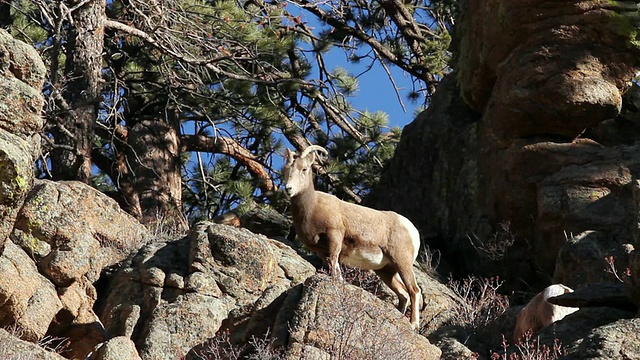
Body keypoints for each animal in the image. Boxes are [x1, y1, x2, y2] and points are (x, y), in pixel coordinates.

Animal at [282, 145, 422, 328]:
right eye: (286, 170)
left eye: (304, 169)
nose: (288, 189)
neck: (311, 208)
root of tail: (413, 231)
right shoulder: (319, 249)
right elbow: (331, 265)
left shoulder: (335, 235)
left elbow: (334, 261)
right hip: (386, 271)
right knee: (403, 294)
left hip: (402, 262)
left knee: (414, 290)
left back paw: (413, 324)